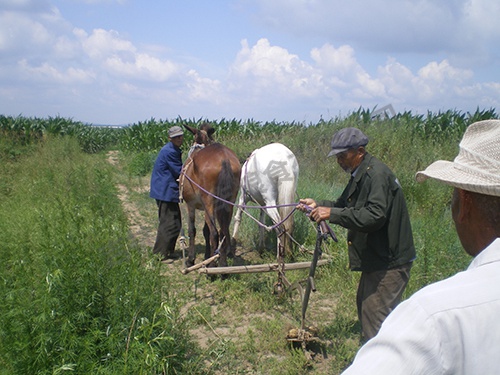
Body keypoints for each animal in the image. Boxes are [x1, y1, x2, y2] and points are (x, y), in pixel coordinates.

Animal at [180, 123, 242, 270]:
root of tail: (224, 158)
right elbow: (205, 231)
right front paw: (207, 255)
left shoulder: (191, 205)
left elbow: (192, 230)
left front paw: (191, 259)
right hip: (228, 202)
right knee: (223, 231)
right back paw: (223, 266)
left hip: (209, 202)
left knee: (215, 232)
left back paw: (214, 266)